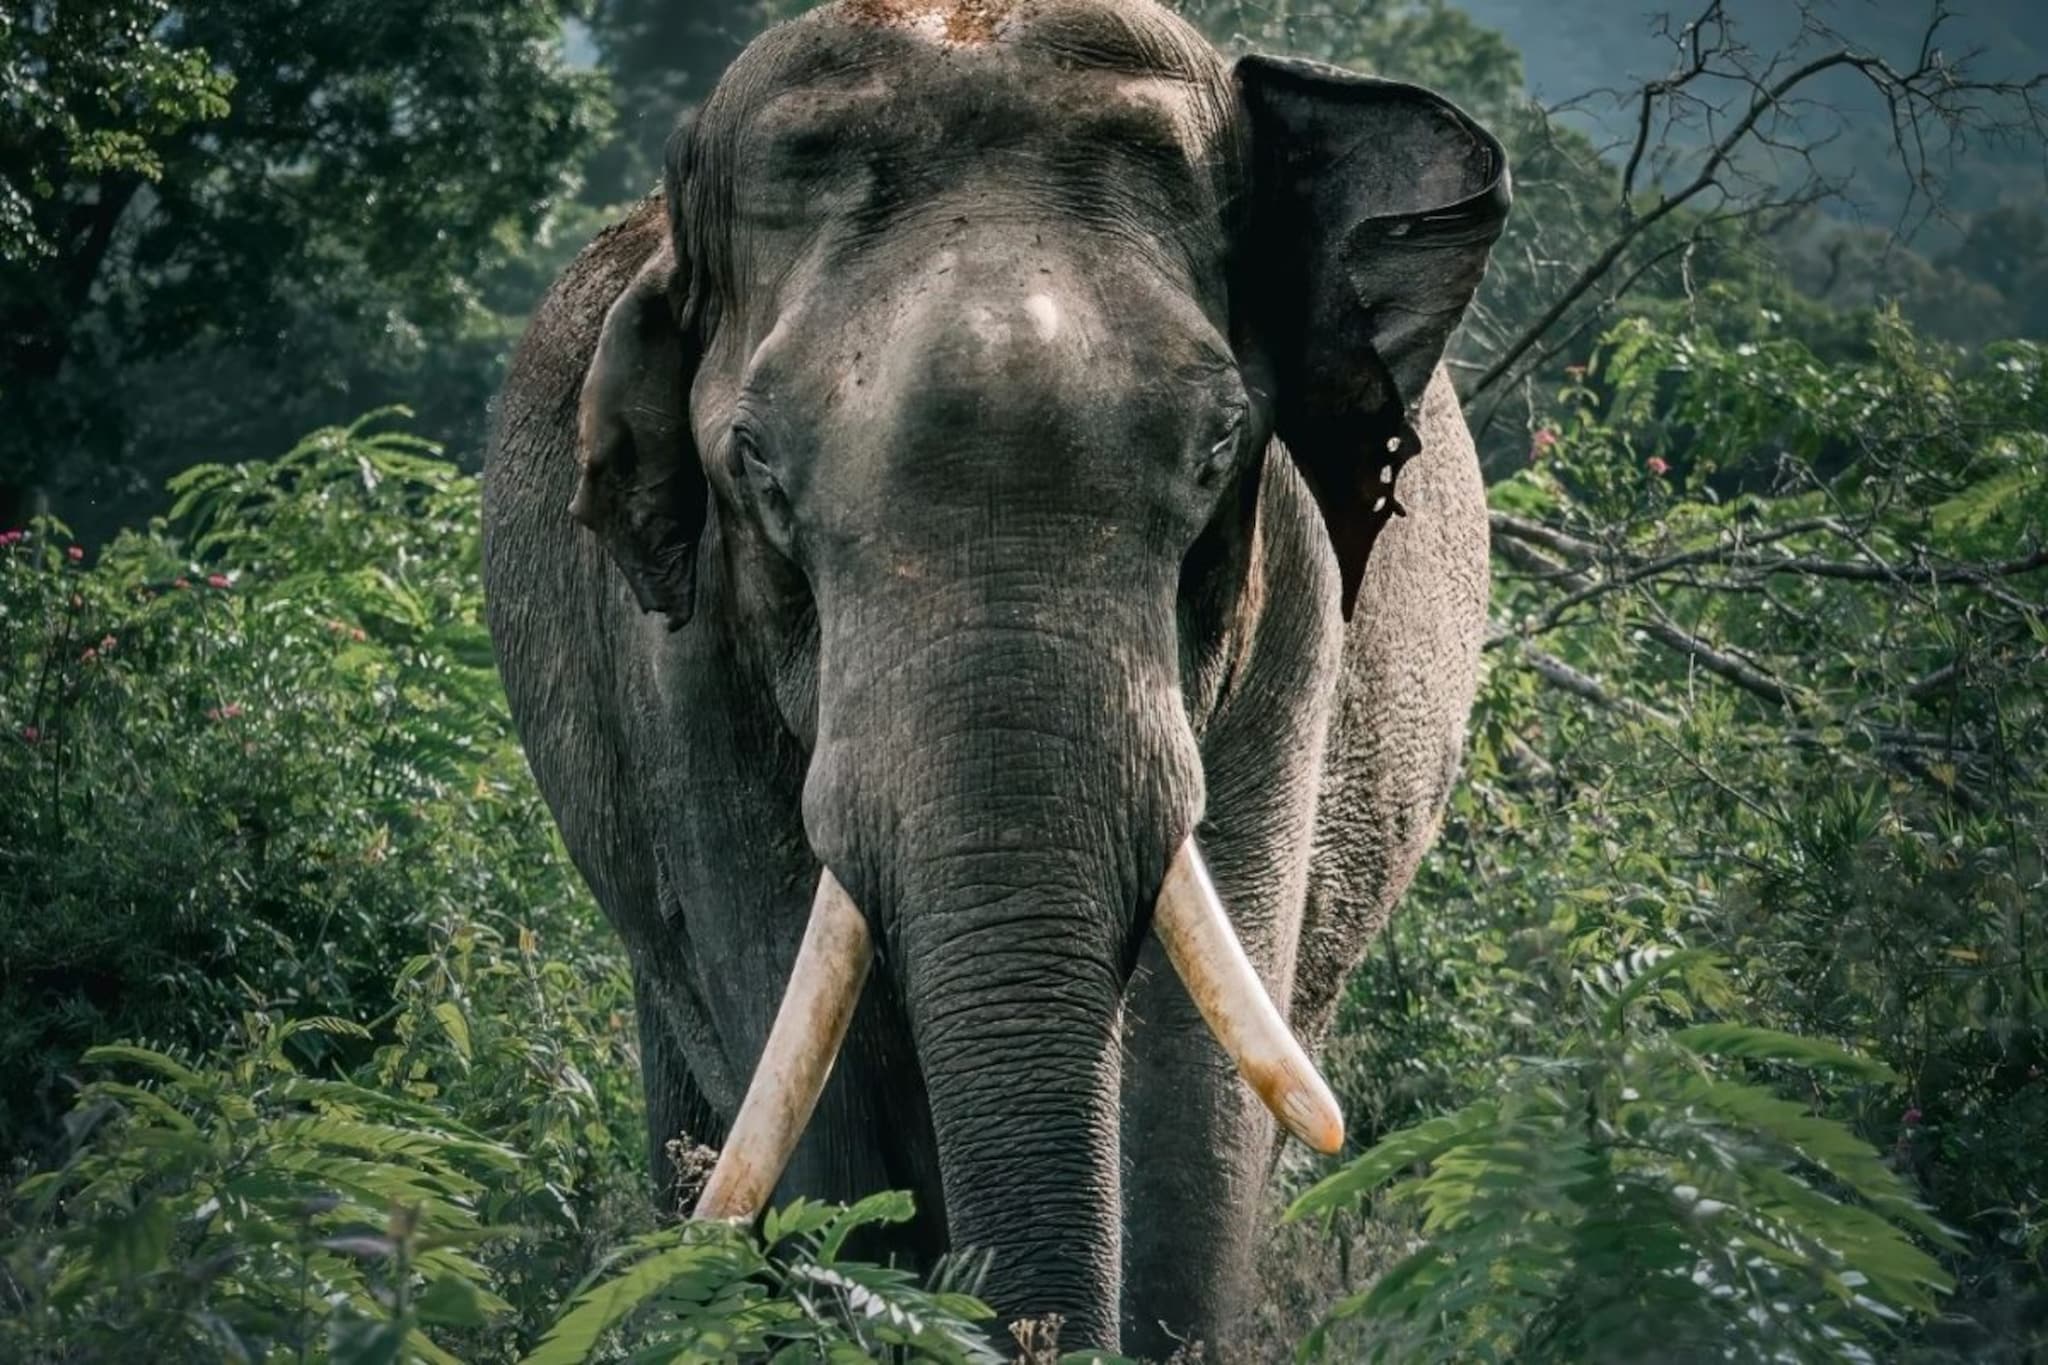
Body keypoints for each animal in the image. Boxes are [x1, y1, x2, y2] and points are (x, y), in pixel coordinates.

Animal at [482, 0, 1508, 1353]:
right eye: (757, 471)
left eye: (1217, 451)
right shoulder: (680, 665)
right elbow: (809, 1075)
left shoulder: (1289, 616)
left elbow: (1192, 1088)